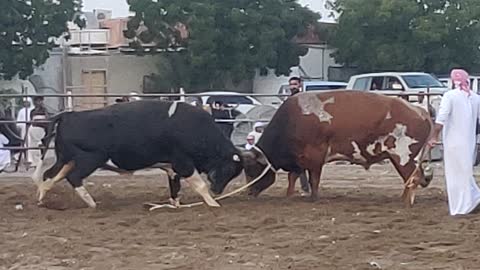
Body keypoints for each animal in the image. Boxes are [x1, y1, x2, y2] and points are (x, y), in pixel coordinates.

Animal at [31, 100, 244, 208]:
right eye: (228, 170)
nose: (218, 191)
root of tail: (69, 115)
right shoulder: (183, 163)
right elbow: (199, 185)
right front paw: (213, 203)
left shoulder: (171, 167)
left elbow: (175, 188)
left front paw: (176, 204)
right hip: (89, 159)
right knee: (74, 178)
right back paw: (91, 203)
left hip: (66, 159)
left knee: (50, 175)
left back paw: (41, 199)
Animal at [244, 90, 436, 205]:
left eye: (252, 169)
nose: (249, 192)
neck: (292, 121)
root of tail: (419, 111)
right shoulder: (298, 160)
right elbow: (293, 178)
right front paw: (289, 197)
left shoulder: (315, 157)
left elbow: (313, 179)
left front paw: (314, 198)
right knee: (413, 178)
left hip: (402, 156)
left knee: (413, 178)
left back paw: (406, 202)